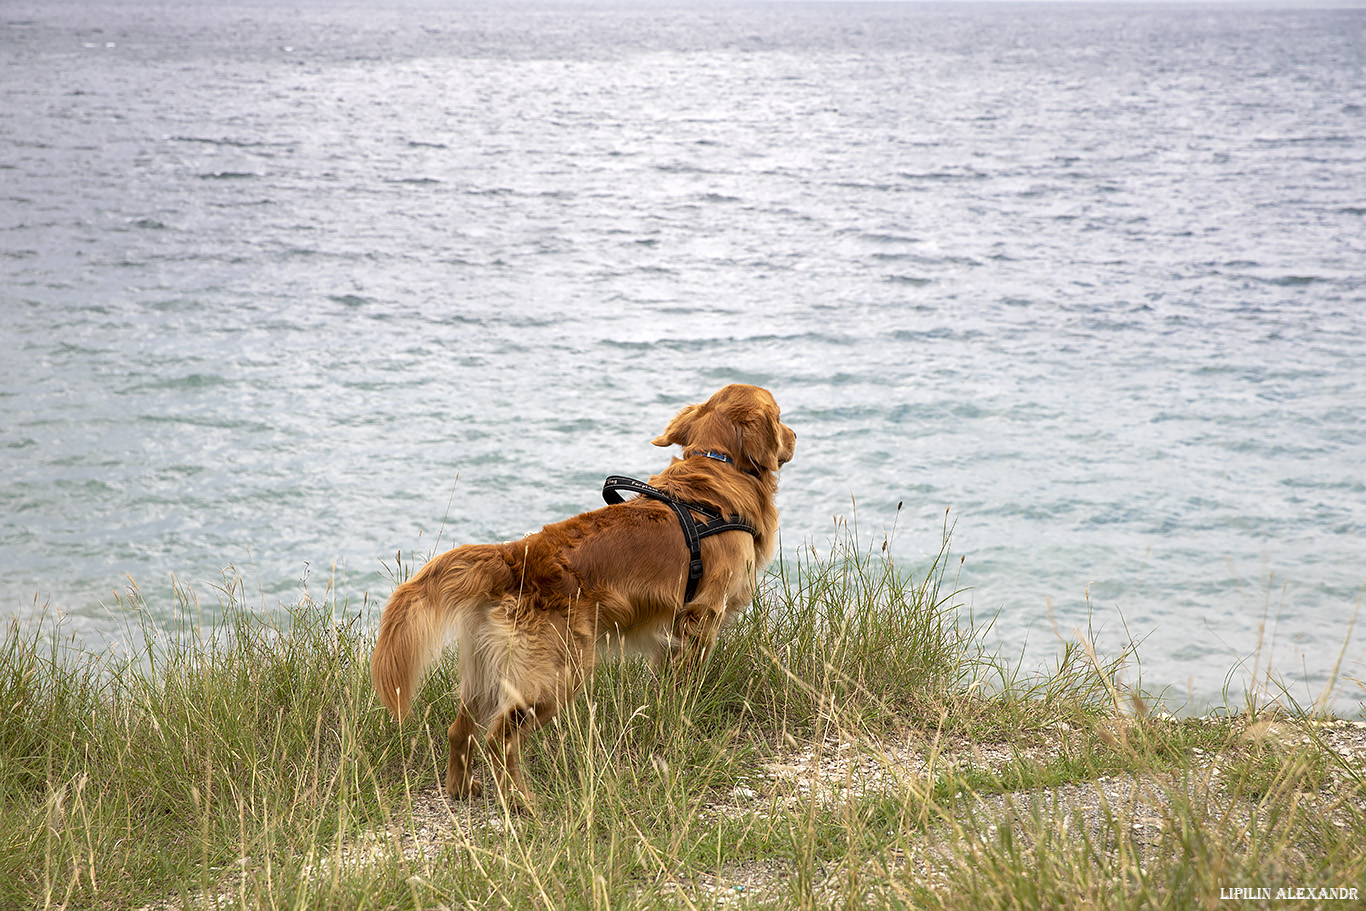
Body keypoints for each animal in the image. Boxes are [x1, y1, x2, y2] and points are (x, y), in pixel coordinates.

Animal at [371, 382, 797, 803]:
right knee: (499, 740)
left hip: (486, 670)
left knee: (460, 729)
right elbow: (687, 677)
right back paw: (521, 801)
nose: (795, 435)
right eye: (779, 416)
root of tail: (513, 555)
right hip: (556, 674)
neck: (718, 464)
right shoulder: (701, 614)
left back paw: (461, 788)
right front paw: (687, 710)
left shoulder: (671, 627)